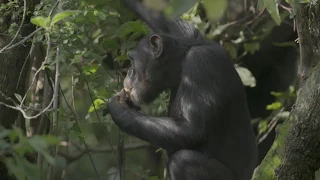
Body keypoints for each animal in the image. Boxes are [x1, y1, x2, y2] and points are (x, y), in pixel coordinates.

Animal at [107, 0, 258, 179]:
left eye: (132, 60)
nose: (128, 72)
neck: (180, 63)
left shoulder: (201, 64)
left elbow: (190, 130)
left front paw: (118, 109)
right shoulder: (188, 34)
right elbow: (162, 16)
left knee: (183, 161)